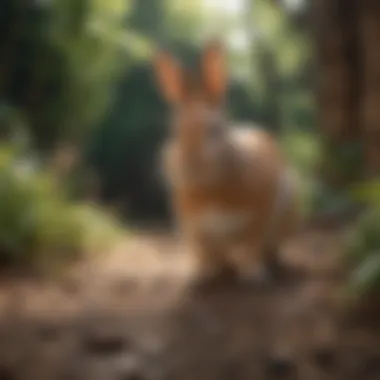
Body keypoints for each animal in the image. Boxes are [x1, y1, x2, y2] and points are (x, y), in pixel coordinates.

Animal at [154, 40, 300, 284]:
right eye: (174, 132)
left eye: (214, 130)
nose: (189, 166)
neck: (209, 187)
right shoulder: (196, 230)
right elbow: (206, 253)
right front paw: (202, 275)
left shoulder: (258, 216)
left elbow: (251, 246)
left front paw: (254, 276)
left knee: (266, 249)